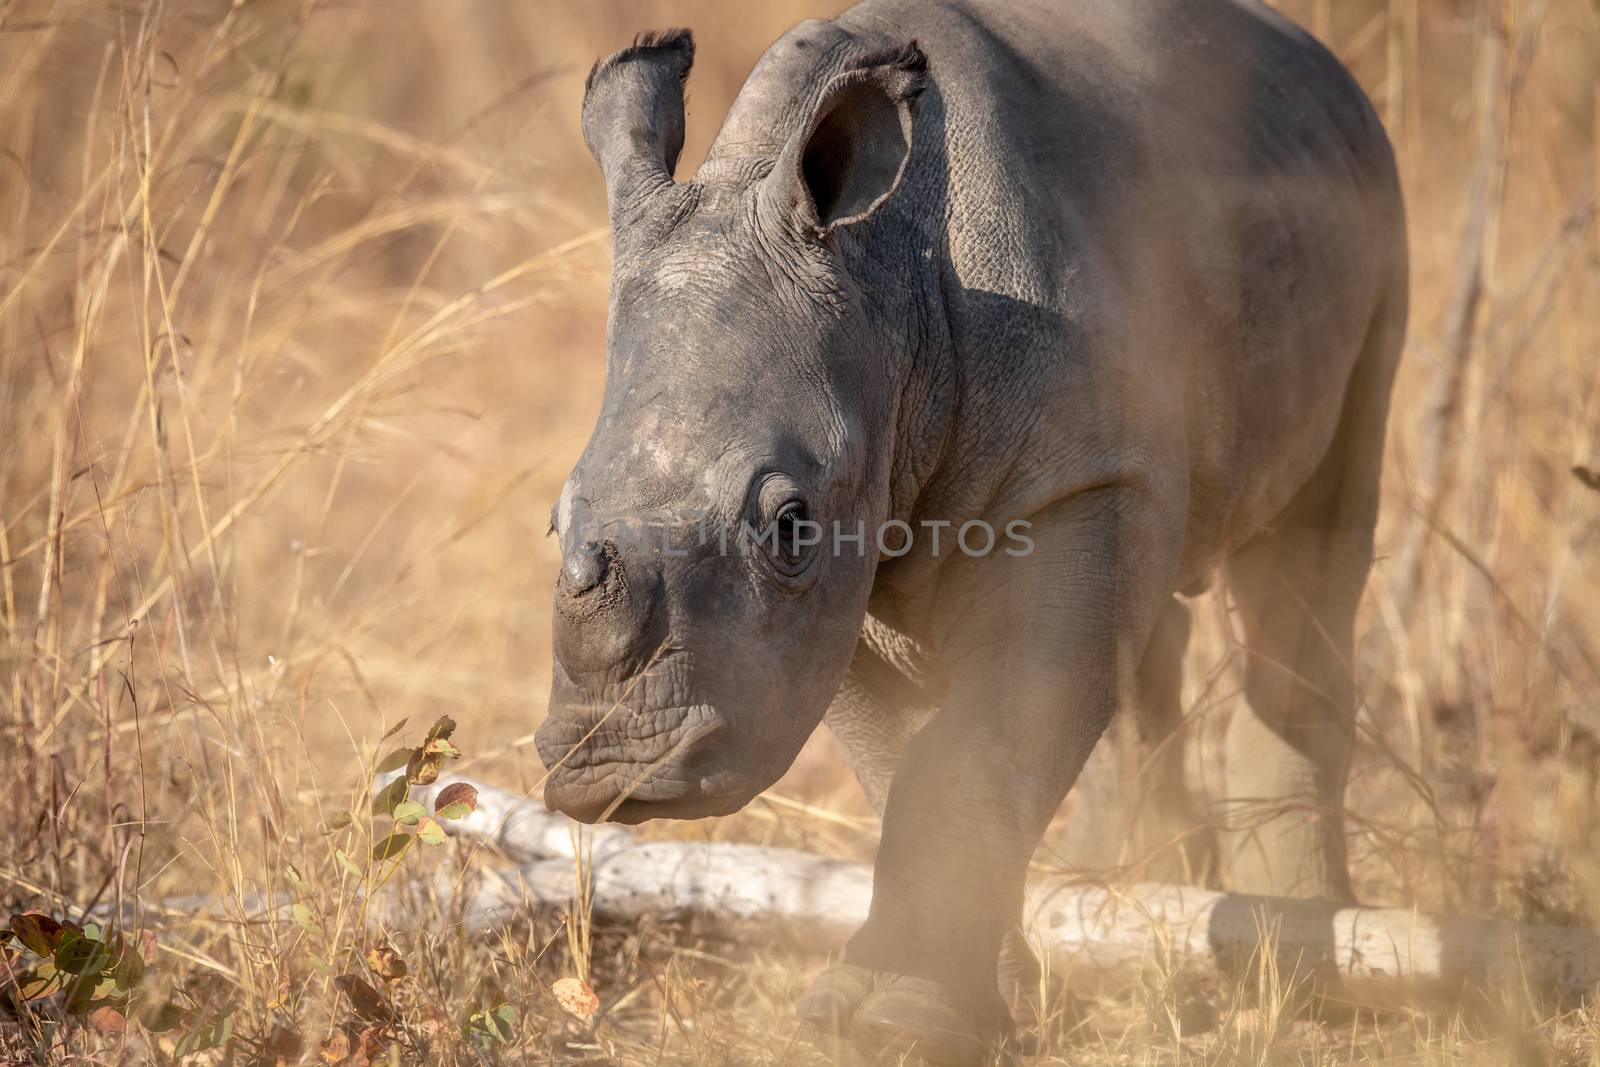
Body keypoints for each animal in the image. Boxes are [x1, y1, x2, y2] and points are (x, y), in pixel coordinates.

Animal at [534, 0, 1401, 1062]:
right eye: (553, 521)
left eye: (788, 523)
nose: (612, 771)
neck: (883, 282)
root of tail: (1313, 55)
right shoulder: (851, 567)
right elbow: (909, 764)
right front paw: (979, 1008)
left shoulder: (1061, 482)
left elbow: (969, 752)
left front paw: (899, 1019)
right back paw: (1145, 893)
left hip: (1376, 206)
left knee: (1314, 541)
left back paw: (1302, 968)